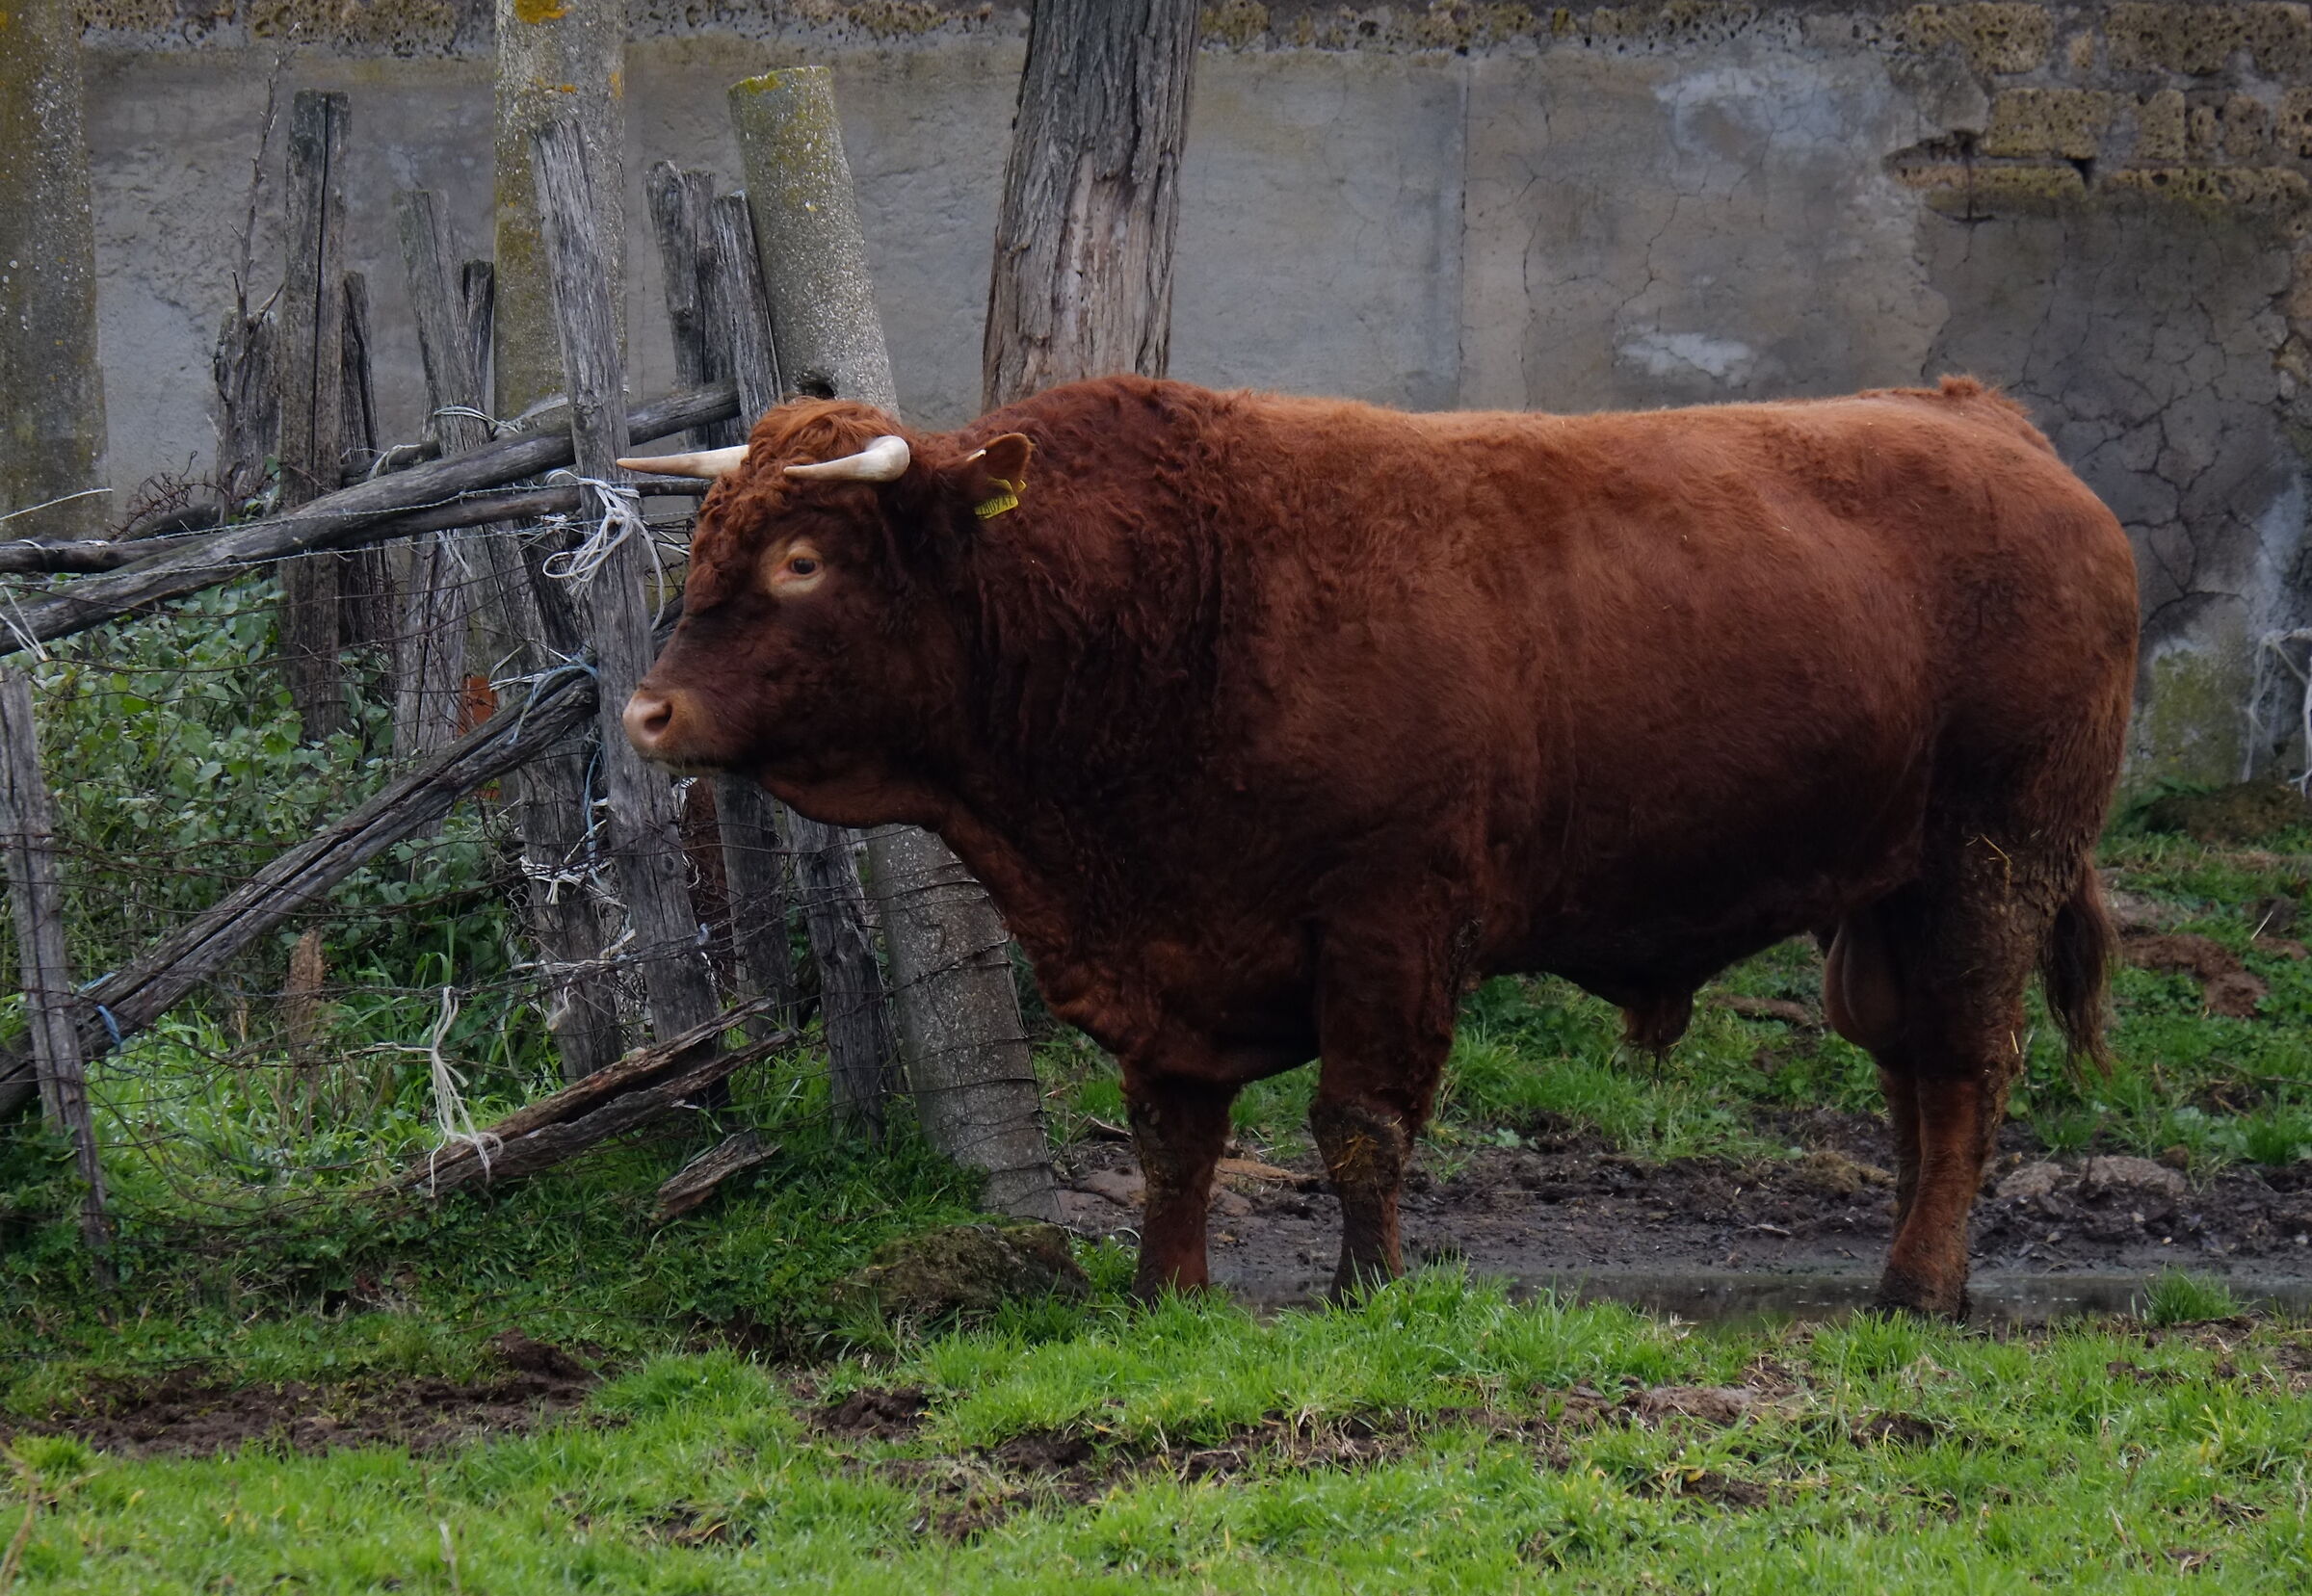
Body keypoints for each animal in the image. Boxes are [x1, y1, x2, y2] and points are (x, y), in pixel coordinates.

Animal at [618, 373, 2138, 1318]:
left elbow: (1359, 1126)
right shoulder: (1171, 947)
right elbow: (1173, 1134)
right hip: (1885, 900)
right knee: (1910, 1067)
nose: (648, 710)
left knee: (1967, 1067)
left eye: (802, 560)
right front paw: (1164, 1291)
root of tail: (1986, 418)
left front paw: (1369, 1290)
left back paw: (1920, 1289)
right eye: (704, 542)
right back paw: (1916, 1270)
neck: (1164, 600)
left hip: (1993, 866)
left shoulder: (1391, 921)